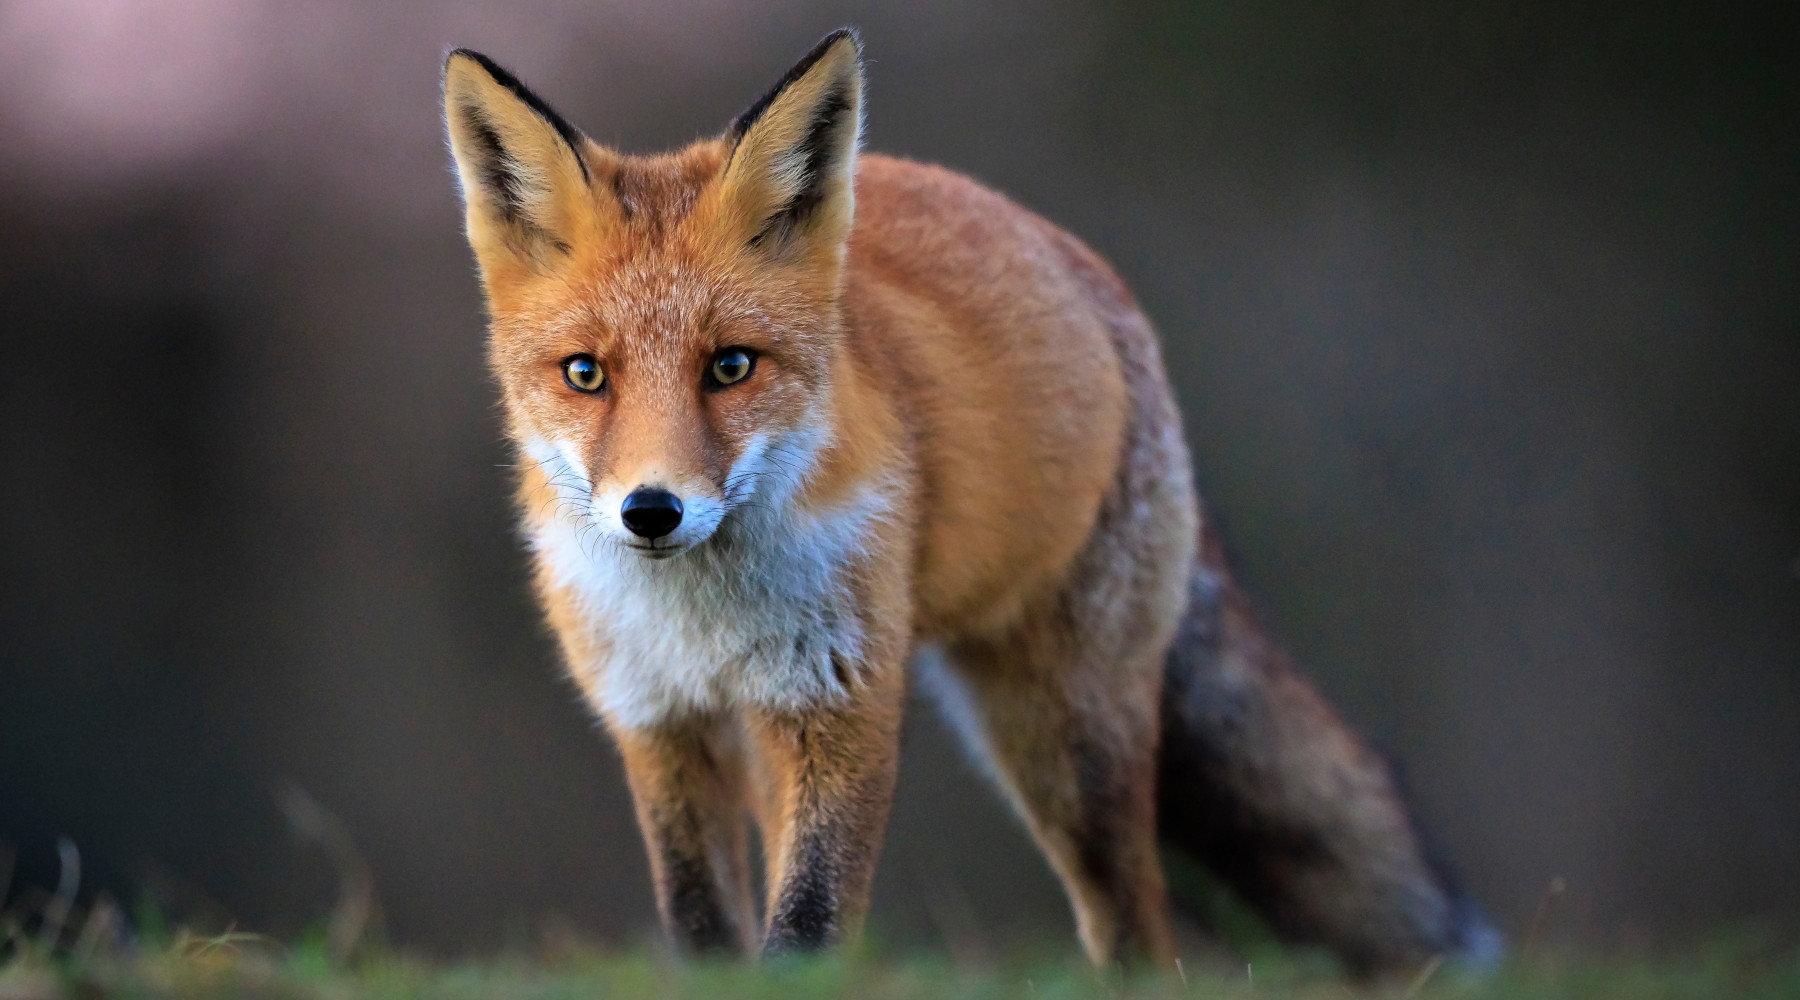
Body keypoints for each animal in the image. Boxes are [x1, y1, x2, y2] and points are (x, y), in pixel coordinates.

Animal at [441, 28, 1501, 976]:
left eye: (731, 367)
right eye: (586, 375)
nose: (651, 511)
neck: (703, 619)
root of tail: (1073, 257)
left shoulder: (842, 701)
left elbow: (808, 930)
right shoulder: (659, 721)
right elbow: (705, 932)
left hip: (1066, 742)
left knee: (1137, 929)